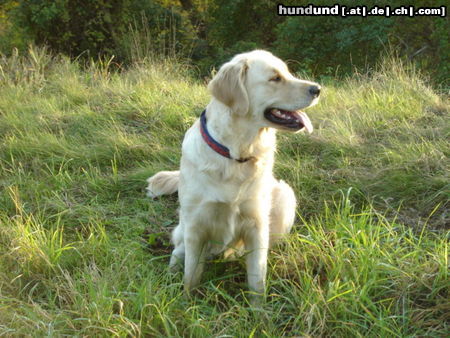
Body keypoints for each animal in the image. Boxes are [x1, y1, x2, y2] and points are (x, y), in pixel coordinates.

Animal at [145, 50, 320, 304]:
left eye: (288, 73)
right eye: (275, 78)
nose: (318, 89)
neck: (236, 155)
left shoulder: (257, 224)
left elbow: (257, 279)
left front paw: (259, 311)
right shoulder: (196, 225)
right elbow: (191, 275)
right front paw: (186, 302)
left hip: (284, 196)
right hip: (184, 227)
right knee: (179, 250)